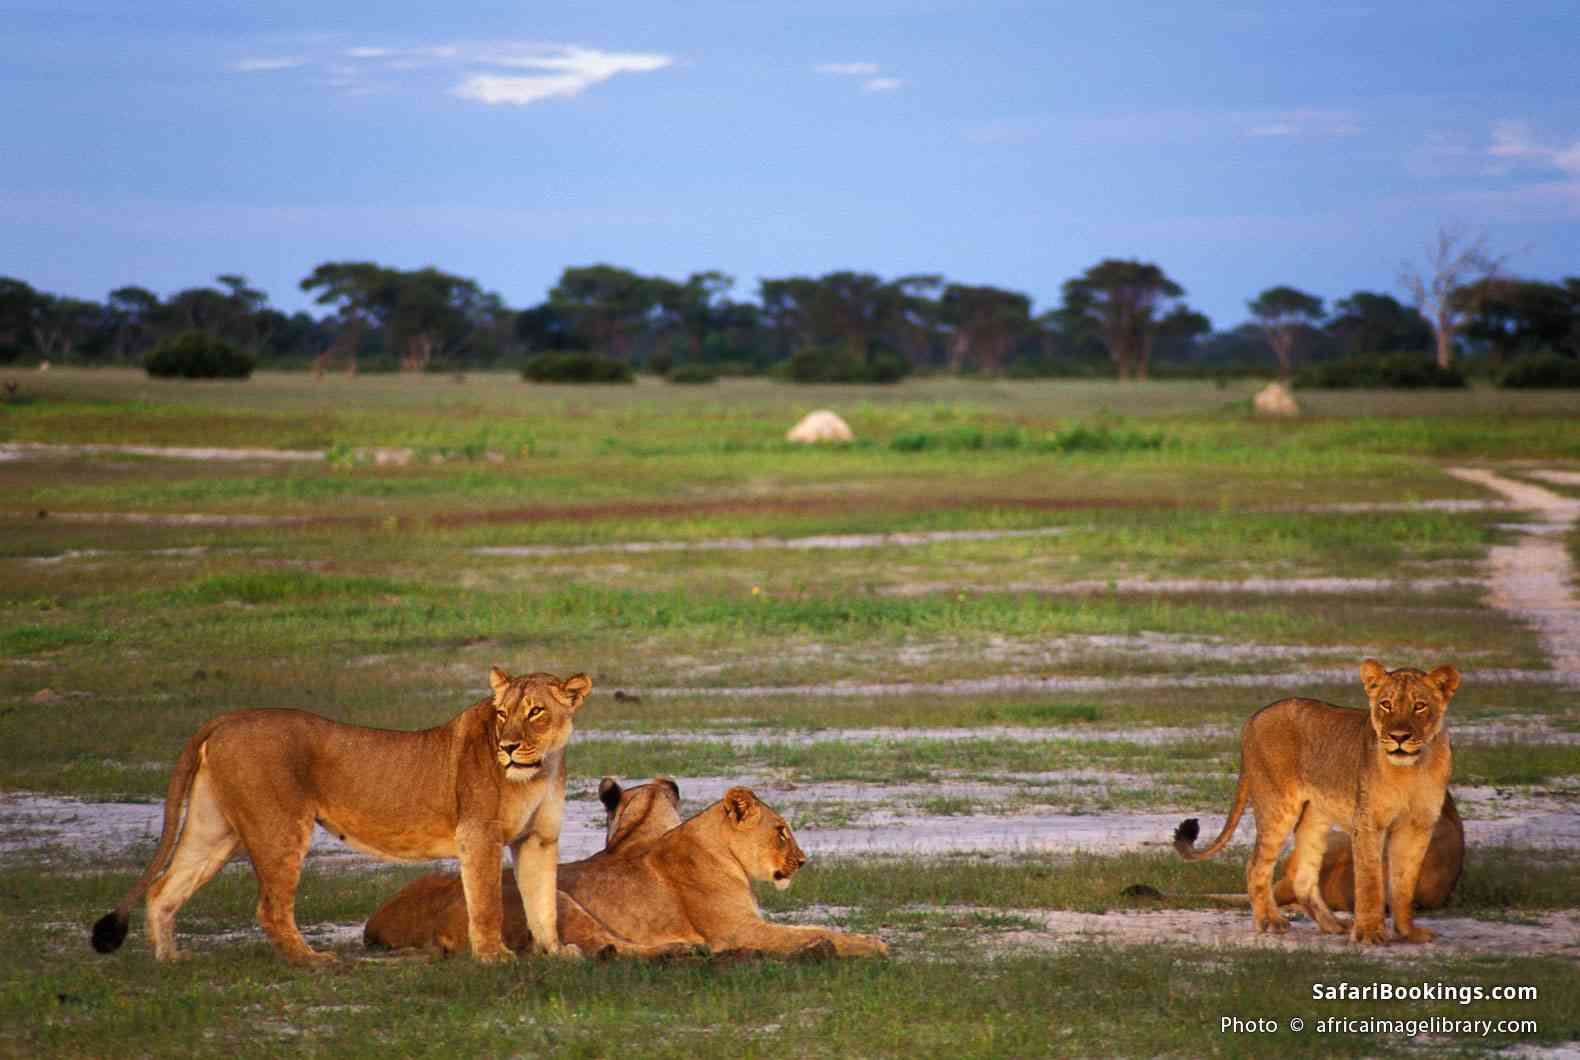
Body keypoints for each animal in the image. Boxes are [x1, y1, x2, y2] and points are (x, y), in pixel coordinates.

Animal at [90, 667, 590, 964]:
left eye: (536, 711)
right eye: (502, 713)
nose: (506, 746)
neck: (540, 769)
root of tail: (228, 717)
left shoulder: (538, 839)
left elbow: (542, 901)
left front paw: (556, 951)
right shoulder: (478, 834)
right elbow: (486, 902)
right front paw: (493, 956)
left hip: (213, 830)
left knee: (162, 890)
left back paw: (170, 961)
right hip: (279, 827)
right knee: (270, 908)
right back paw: (312, 961)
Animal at [1174, 659, 1459, 944]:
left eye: (1419, 705)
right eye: (1386, 704)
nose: (1399, 737)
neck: (1413, 769)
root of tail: (1254, 718)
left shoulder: (1419, 825)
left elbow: (1404, 884)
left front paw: (1408, 932)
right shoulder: (1368, 822)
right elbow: (1370, 880)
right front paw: (1369, 933)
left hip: (1315, 816)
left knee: (1303, 877)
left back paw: (1333, 924)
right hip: (1278, 806)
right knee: (1256, 865)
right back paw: (1270, 921)